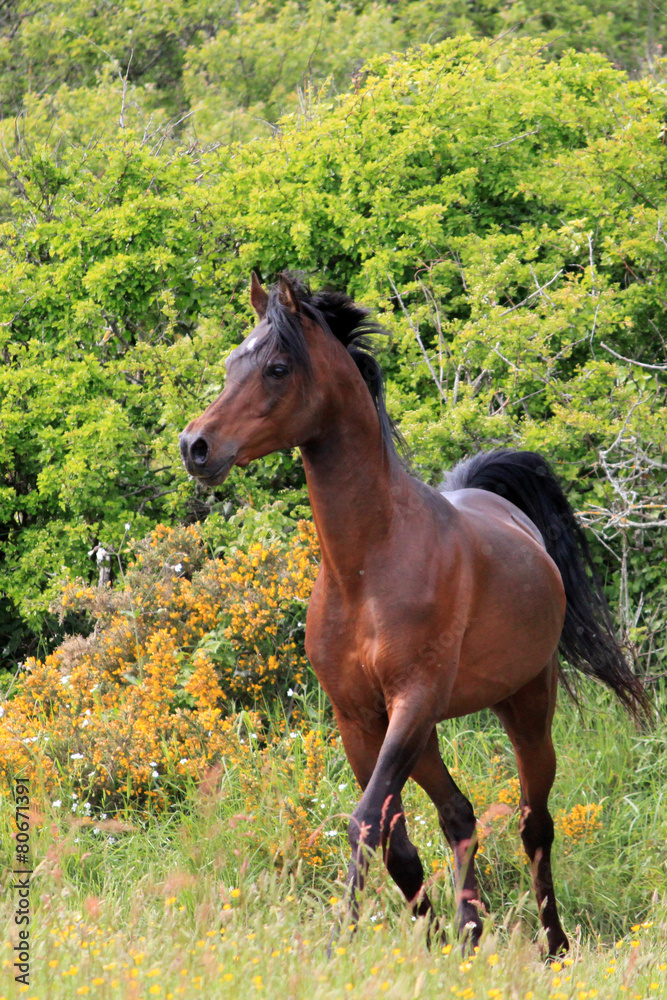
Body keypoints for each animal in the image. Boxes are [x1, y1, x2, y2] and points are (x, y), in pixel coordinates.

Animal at [179, 272, 648, 957]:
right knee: (460, 813)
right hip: (426, 732)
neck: (368, 566)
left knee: (535, 824)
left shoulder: (411, 702)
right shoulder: (360, 719)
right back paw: (471, 932)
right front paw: (434, 940)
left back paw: (555, 944)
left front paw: (340, 940)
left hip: (525, 708)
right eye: (230, 363)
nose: (196, 446)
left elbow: (363, 823)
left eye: (276, 368)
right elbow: (395, 843)